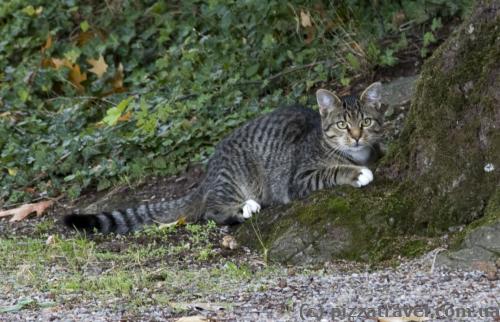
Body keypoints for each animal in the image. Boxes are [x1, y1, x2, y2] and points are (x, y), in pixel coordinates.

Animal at [64, 82, 384, 234]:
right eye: (342, 125)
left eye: (366, 122)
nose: (356, 136)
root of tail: (210, 171)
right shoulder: (299, 178)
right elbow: (331, 171)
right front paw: (357, 173)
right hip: (235, 178)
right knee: (211, 210)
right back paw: (244, 207)